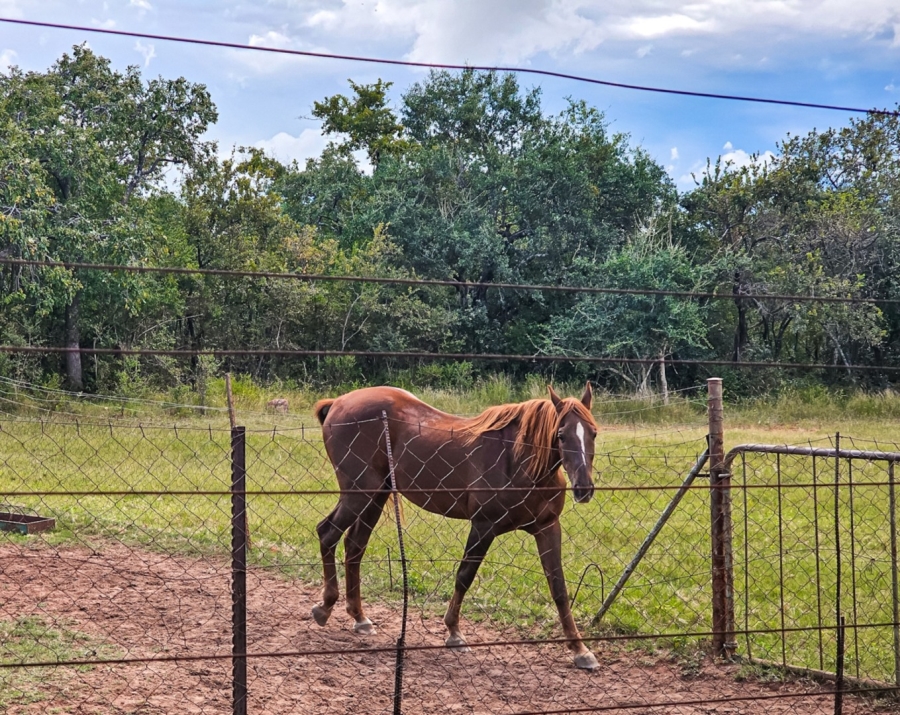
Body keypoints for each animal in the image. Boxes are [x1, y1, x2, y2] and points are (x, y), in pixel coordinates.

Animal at [312, 384, 600, 668]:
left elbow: (559, 587)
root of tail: (338, 402)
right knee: (328, 533)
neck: (519, 460)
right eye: (561, 435)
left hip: (376, 496)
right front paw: (454, 632)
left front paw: (580, 649)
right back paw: (325, 607)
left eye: (594, 433)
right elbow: (464, 576)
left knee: (354, 546)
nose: (583, 488)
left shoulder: (547, 528)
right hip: (359, 494)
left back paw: (359, 617)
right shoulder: (484, 526)